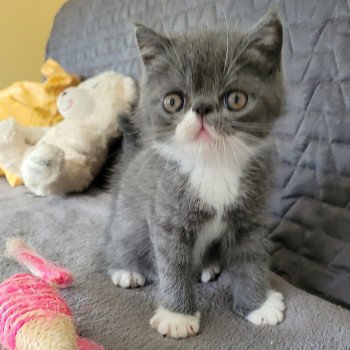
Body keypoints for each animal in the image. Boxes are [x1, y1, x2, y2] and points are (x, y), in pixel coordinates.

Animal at [105, 11, 286, 340]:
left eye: (236, 99)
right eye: (173, 101)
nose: (201, 108)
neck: (212, 165)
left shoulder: (251, 216)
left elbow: (251, 257)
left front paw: (258, 305)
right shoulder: (166, 212)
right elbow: (172, 264)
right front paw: (177, 316)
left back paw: (208, 266)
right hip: (126, 219)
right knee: (121, 237)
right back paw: (126, 268)